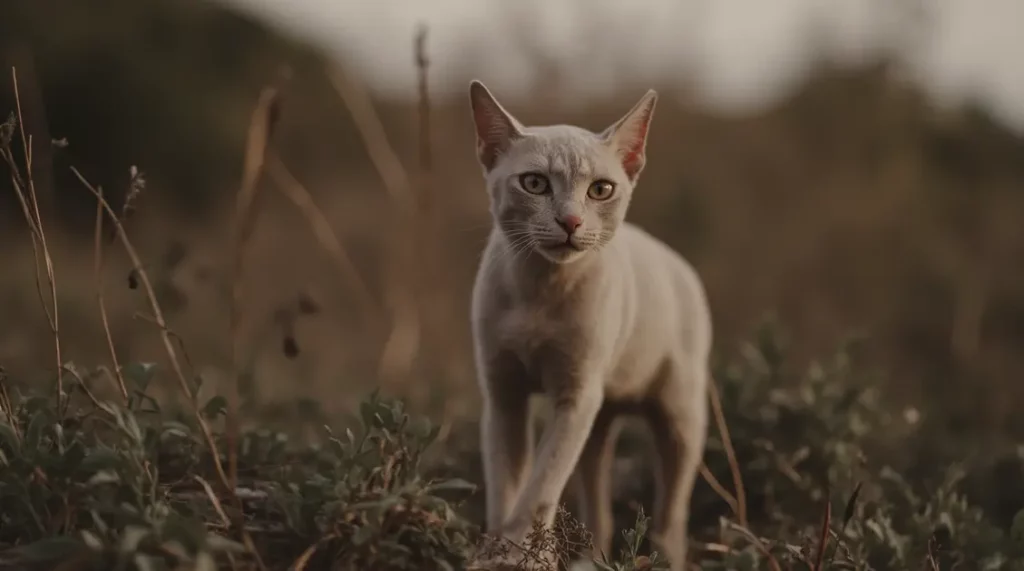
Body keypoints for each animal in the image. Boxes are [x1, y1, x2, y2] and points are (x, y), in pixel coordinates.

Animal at [468, 77, 712, 571]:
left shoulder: (575, 395)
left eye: (601, 189)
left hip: (679, 414)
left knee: (671, 516)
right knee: (598, 504)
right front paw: (497, 554)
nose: (570, 220)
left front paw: (525, 555)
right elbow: (507, 484)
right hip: (599, 418)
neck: (540, 290)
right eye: (535, 183)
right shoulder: (504, 393)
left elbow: (541, 485)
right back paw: (589, 561)